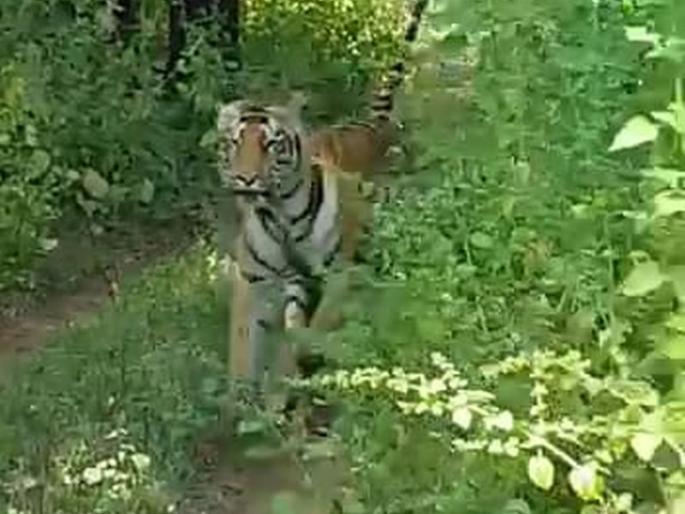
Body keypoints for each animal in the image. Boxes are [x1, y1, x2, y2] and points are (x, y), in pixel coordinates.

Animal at [215, 0, 430, 405]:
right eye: (235, 142)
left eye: (270, 143)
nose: (245, 178)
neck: (278, 213)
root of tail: (372, 126)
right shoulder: (253, 281)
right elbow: (243, 346)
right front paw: (239, 401)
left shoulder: (338, 275)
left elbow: (305, 336)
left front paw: (279, 390)